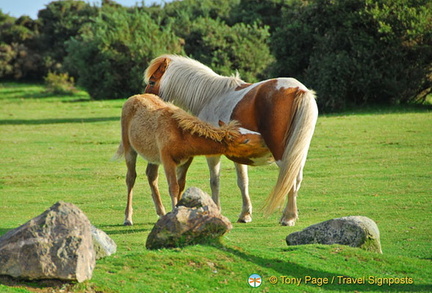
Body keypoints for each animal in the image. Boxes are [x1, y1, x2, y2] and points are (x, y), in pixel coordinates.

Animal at [113, 92, 268, 225]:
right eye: (246, 140)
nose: (264, 138)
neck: (181, 136)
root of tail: (133, 98)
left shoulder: (186, 160)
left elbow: (181, 185)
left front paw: (178, 211)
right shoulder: (167, 160)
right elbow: (173, 187)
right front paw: (174, 214)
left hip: (153, 157)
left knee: (151, 176)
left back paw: (161, 213)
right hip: (129, 148)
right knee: (131, 177)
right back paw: (128, 218)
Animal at [144, 53, 318, 225]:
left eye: (152, 81)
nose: (144, 99)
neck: (210, 96)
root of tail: (297, 89)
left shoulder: (213, 154)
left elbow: (215, 181)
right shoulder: (239, 154)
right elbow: (243, 182)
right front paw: (245, 214)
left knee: (290, 179)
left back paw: (288, 218)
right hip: (298, 152)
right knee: (295, 179)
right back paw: (288, 215)